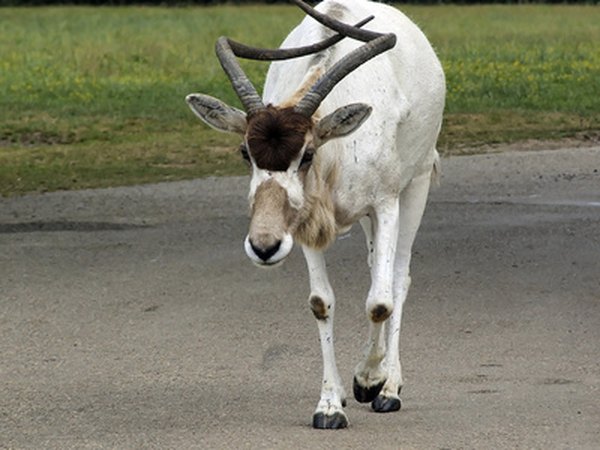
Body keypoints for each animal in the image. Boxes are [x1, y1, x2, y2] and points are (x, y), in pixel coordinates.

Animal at [188, 0, 446, 428]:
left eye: (306, 154)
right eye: (245, 152)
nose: (264, 246)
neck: (336, 151)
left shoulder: (385, 204)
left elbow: (380, 300)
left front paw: (370, 380)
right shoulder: (305, 225)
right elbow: (321, 302)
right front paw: (329, 405)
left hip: (417, 183)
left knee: (397, 278)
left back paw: (388, 387)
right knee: (376, 268)